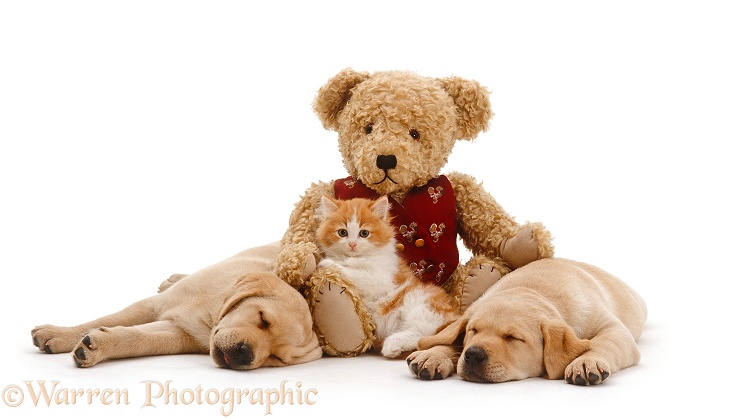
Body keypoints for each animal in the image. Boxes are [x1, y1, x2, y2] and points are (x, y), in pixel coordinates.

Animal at [30, 243, 324, 370]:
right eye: (263, 319)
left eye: (276, 359)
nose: (245, 354)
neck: (212, 314)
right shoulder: (155, 304)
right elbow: (108, 318)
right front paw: (58, 333)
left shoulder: (180, 333)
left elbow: (140, 339)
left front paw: (97, 346)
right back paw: (174, 278)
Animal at [314, 196, 458, 358]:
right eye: (342, 232)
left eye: (364, 233)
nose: (352, 244)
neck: (358, 258)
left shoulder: (379, 279)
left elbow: (353, 272)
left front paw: (327, 263)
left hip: (420, 303)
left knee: (424, 335)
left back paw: (392, 344)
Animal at [406, 260, 648, 388]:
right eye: (473, 331)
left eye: (513, 338)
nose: (473, 354)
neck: (532, 290)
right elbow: (451, 339)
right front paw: (434, 354)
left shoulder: (611, 327)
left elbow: (604, 343)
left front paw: (587, 361)